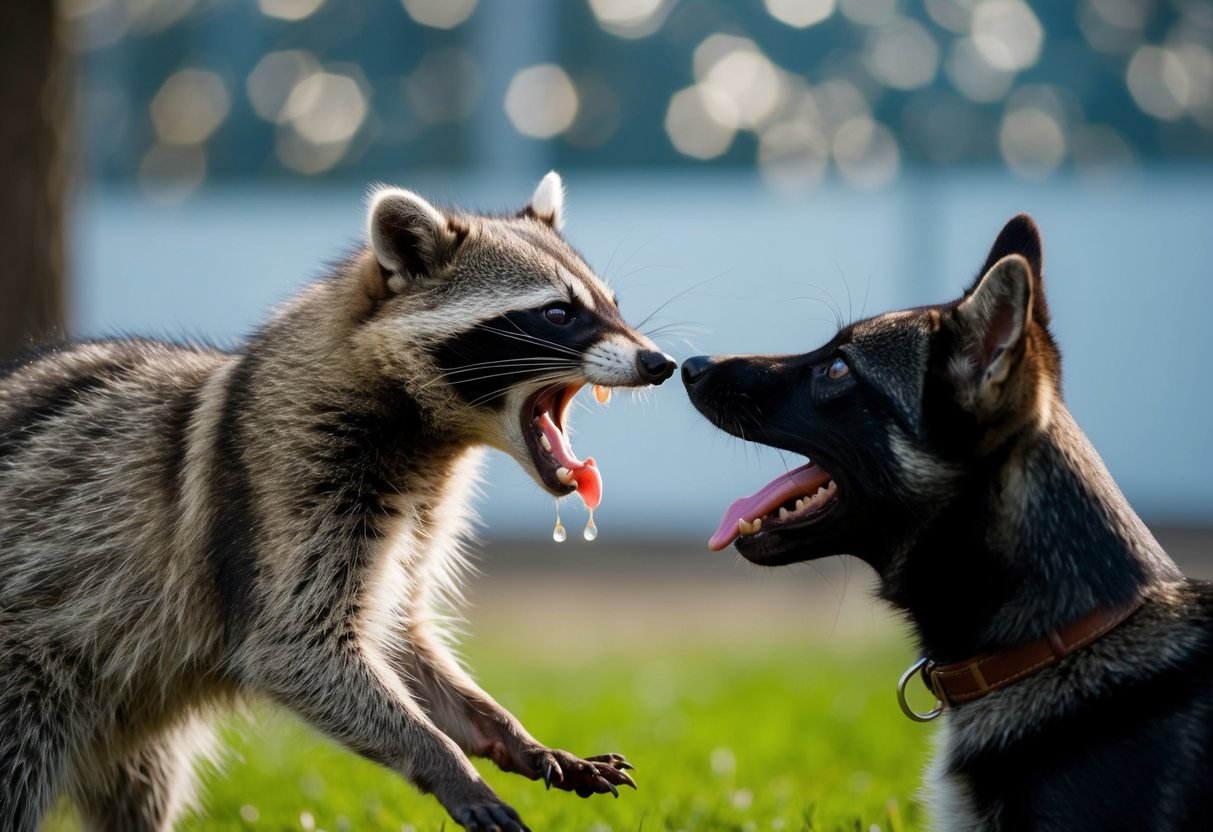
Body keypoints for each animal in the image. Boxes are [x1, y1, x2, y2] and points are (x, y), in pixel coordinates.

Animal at [0, 173, 675, 831]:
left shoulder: (414, 519)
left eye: (612, 305)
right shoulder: (290, 485)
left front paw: (510, 734)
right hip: (28, 665)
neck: (431, 437)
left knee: (141, 789)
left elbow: (400, 637)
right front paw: (443, 759)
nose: (660, 362)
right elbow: (295, 646)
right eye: (557, 313)